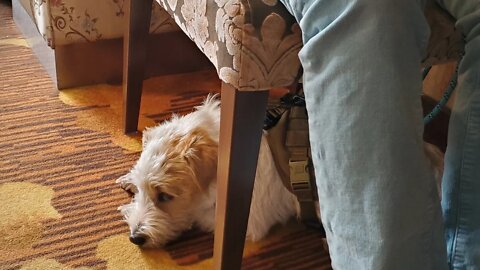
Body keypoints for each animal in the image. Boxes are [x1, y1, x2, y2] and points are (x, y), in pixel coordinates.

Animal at [117, 95, 442, 247]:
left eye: (165, 196)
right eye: (144, 190)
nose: (134, 239)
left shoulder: (247, 221)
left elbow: (199, 216)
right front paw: (127, 179)